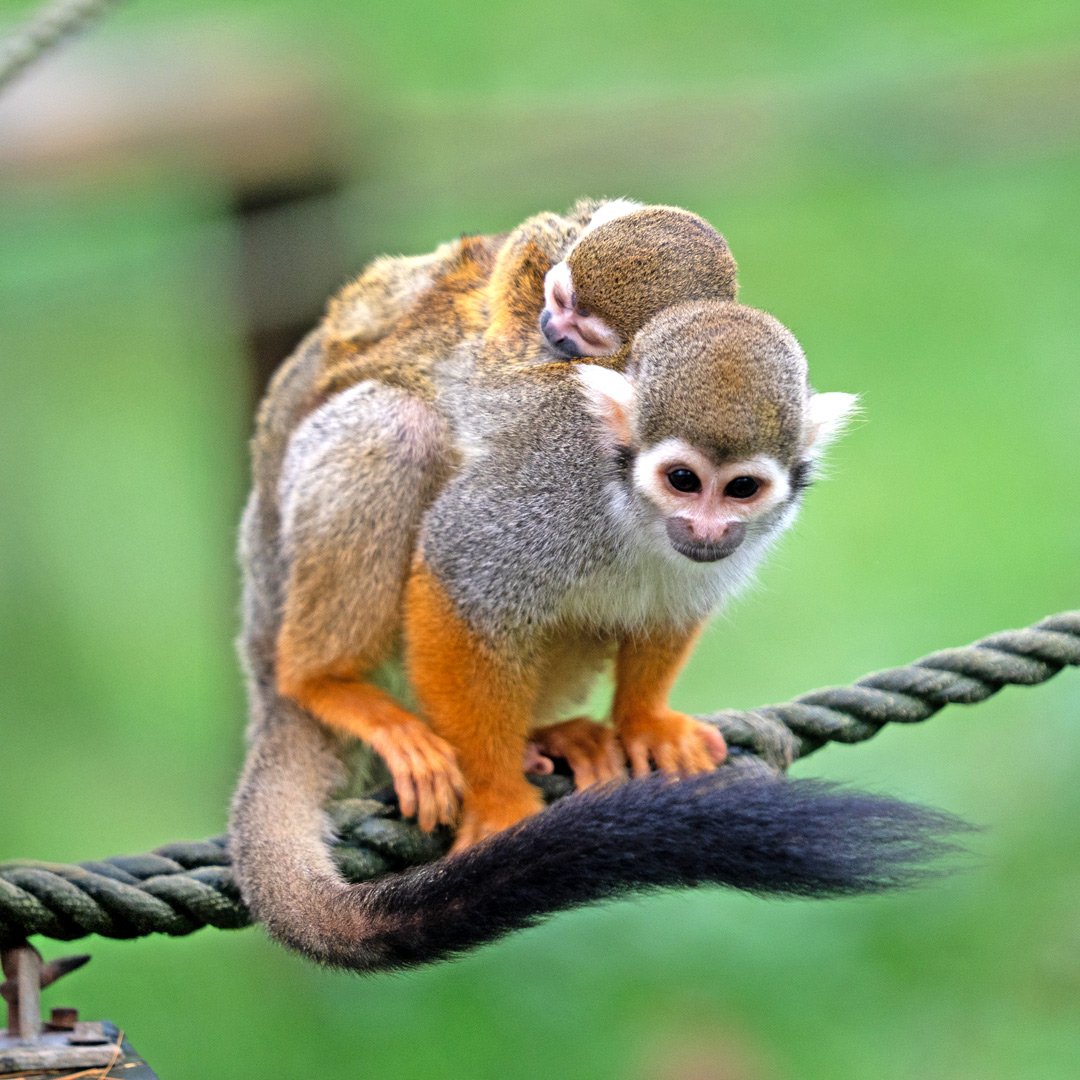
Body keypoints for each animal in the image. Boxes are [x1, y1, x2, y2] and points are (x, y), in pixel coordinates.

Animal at [229, 244, 960, 971]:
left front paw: (645, 723)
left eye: (742, 489)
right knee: (398, 425)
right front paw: (499, 797)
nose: (706, 529)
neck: (630, 504)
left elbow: (673, 604)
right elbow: (455, 574)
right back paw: (327, 682)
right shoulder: (554, 482)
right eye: (683, 480)